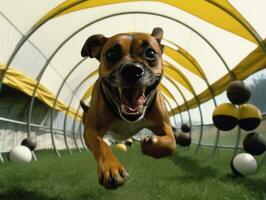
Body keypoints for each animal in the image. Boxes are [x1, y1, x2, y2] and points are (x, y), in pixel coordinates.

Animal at [80, 27, 177, 189]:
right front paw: (111, 168)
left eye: (151, 53)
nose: (132, 70)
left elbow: (171, 143)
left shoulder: (165, 126)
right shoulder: (91, 130)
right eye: (111, 54)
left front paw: (151, 145)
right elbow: (101, 145)